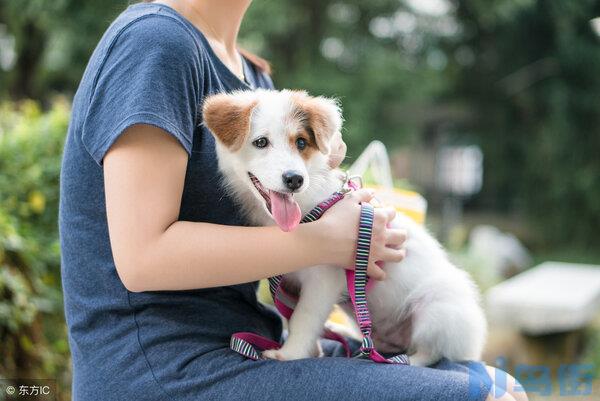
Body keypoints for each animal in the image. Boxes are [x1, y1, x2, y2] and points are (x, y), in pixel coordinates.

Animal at [204, 90, 486, 366]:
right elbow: (292, 316)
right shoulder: (289, 282)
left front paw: (291, 354)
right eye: (261, 142)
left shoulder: (323, 278)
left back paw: (405, 361)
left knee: (433, 352)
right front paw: (311, 350)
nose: (295, 179)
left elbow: (304, 317)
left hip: (437, 310)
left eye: (301, 143)